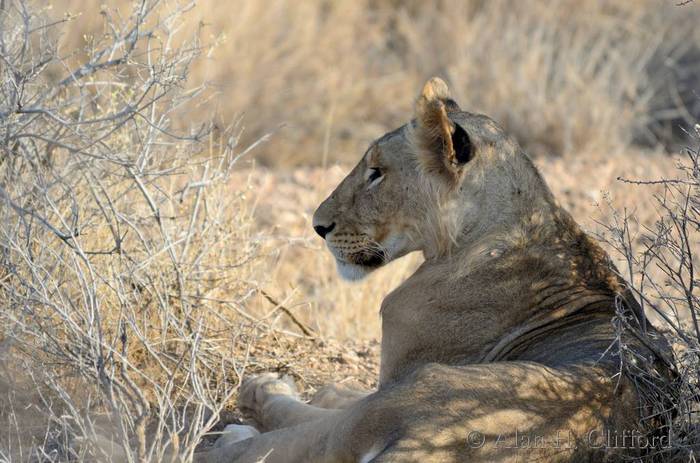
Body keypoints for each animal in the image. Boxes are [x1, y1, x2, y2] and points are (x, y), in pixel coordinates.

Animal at [195, 77, 674, 462]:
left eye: (376, 172)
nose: (318, 225)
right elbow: (341, 392)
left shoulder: (397, 374)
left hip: (406, 396)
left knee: (279, 442)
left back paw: (247, 413)